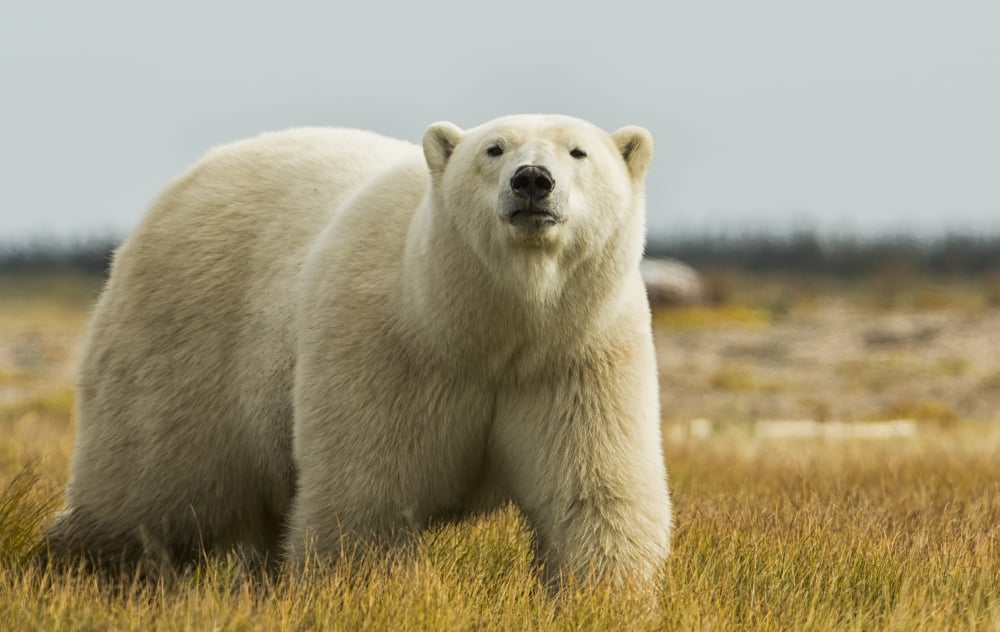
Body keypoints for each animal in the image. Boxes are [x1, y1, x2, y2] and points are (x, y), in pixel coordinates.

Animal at [45, 114, 673, 586]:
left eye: (579, 152)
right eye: (493, 149)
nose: (533, 181)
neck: (480, 328)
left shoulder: (576, 358)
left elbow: (591, 494)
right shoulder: (386, 347)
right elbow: (368, 497)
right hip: (186, 344)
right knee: (150, 486)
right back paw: (83, 566)